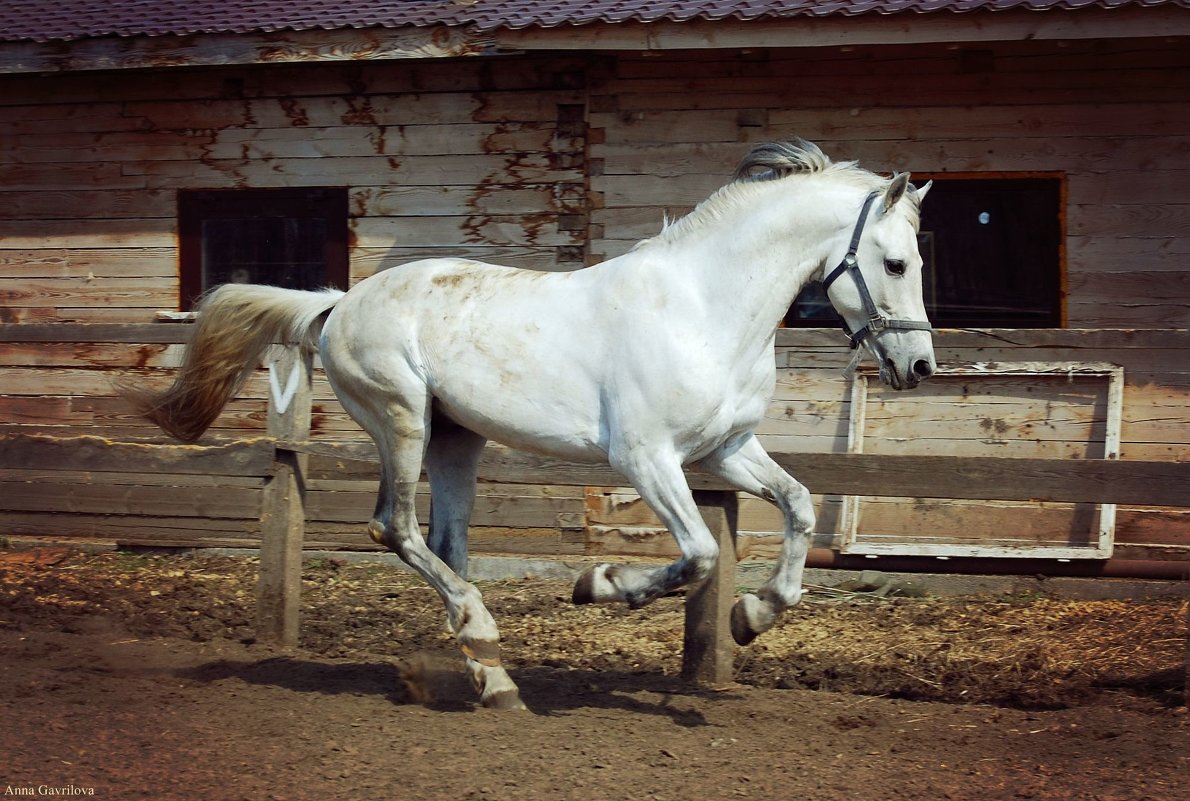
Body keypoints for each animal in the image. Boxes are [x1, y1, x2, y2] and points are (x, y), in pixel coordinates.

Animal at [130, 140, 937, 709]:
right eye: (896, 262)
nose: (919, 365)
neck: (704, 308)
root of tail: (337, 304)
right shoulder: (646, 458)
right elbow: (703, 553)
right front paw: (601, 584)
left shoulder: (724, 451)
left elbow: (796, 505)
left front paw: (752, 616)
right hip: (402, 421)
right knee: (395, 528)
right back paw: (486, 645)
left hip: (457, 439)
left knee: (446, 545)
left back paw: (493, 679)